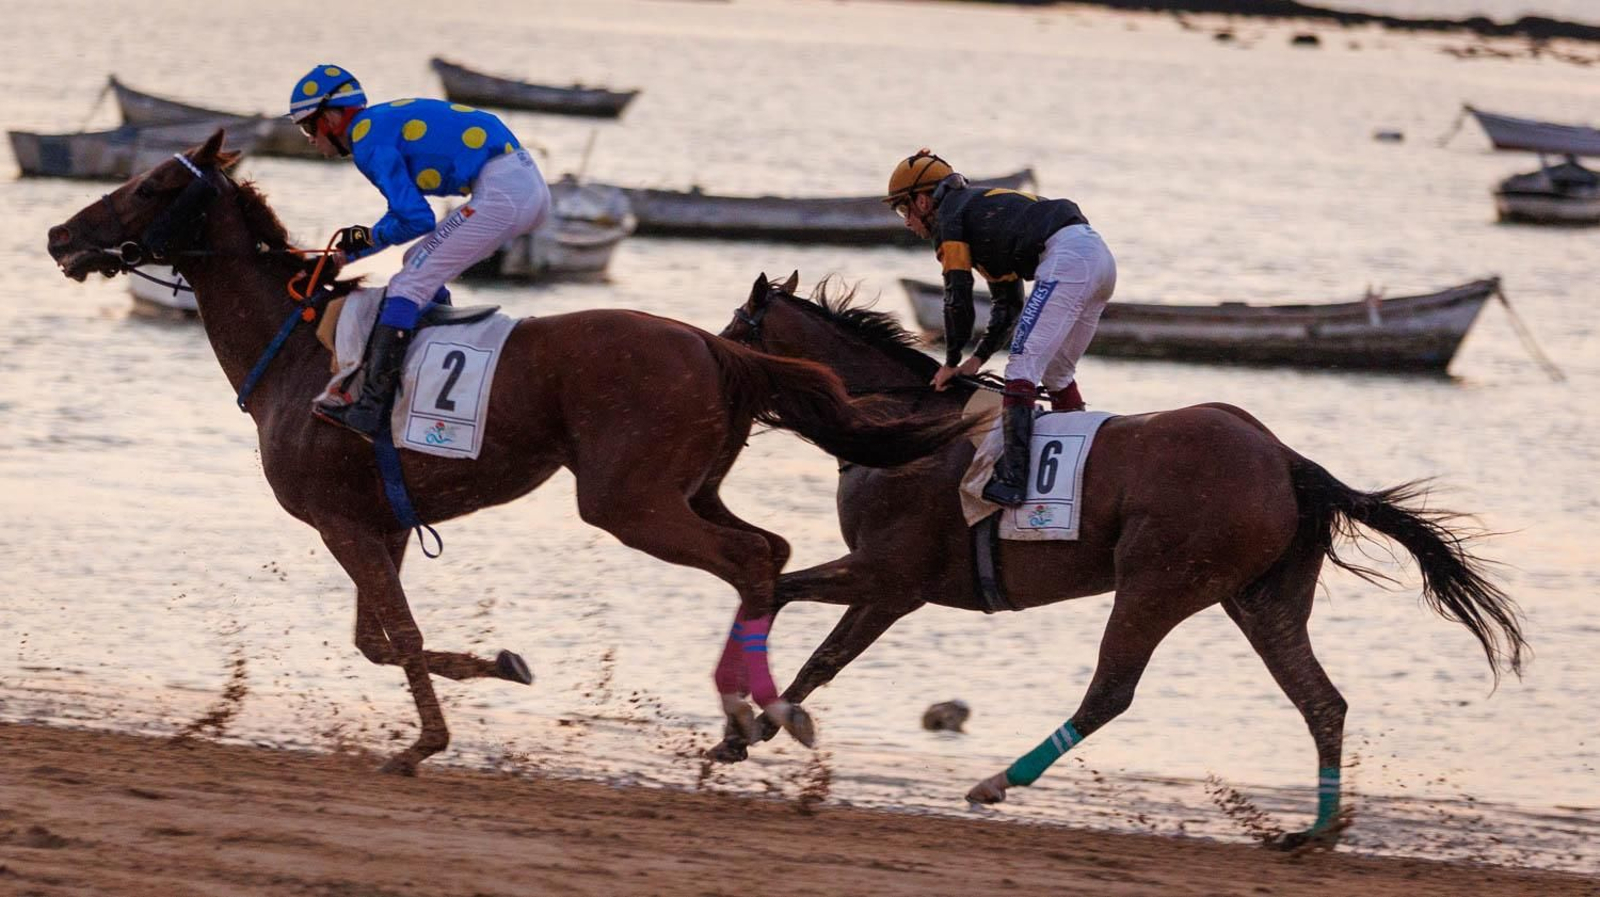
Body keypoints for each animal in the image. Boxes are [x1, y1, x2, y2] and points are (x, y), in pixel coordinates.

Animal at [44, 131, 974, 775]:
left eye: (154, 184)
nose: (59, 234)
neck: (296, 351)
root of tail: (718, 347)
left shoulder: (342, 522)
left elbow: (400, 636)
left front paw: (424, 742)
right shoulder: (379, 523)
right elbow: (379, 640)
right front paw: (501, 661)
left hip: (626, 500)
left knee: (752, 560)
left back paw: (747, 716)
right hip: (687, 487)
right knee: (771, 552)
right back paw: (762, 709)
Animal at [714, 272, 1527, 848]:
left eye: (730, 329)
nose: (711, 383)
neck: (901, 428)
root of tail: (1288, 460)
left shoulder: (890, 576)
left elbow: (781, 602)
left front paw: (752, 723)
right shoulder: (886, 585)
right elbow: (810, 642)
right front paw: (750, 729)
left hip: (1156, 583)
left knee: (1111, 690)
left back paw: (996, 781)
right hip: (1260, 600)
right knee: (1321, 700)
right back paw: (1312, 833)